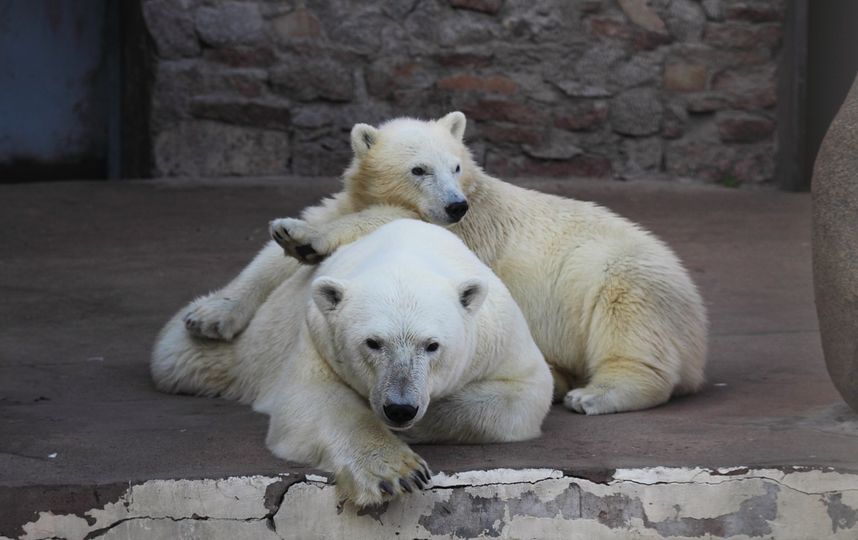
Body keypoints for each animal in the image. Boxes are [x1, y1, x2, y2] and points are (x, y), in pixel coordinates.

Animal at [153, 219, 548, 506]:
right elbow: (314, 403)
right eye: (373, 343)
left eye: (432, 345)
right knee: (186, 358)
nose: (400, 408)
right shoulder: (318, 336)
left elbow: (521, 397)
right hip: (263, 335)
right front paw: (396, 472)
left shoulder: (500, 339)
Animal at [184, 112, 704, 416]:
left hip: (626, 275)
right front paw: (209, 315)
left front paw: (305, 237)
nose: (456, 205)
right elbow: (274, 259)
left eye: (455, 165)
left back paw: (593, 394)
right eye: (419, 169)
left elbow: (379, 222)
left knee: (630, 324)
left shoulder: (469, 230)